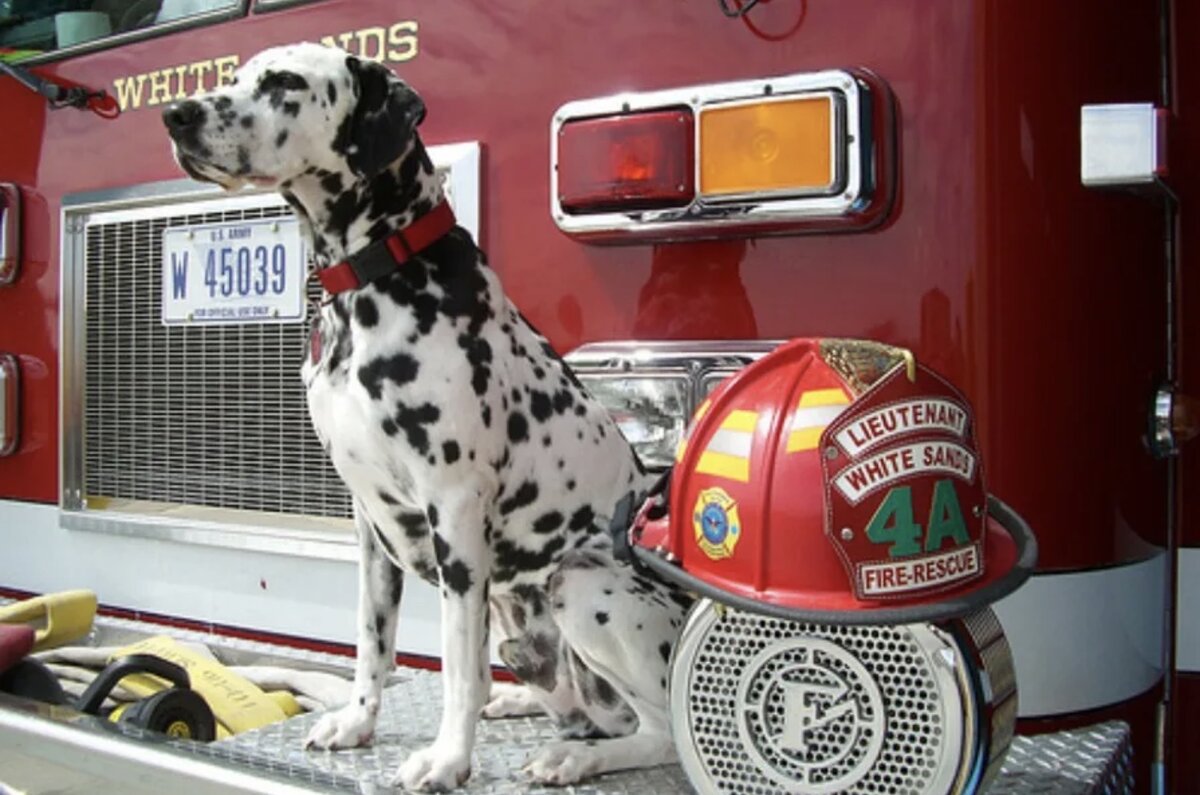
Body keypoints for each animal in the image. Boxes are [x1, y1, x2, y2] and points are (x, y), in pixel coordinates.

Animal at [163, 43, 691, 792]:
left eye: (285, 82)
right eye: (234, 77)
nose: (175, 115)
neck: (373, 279)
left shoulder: (456, 514)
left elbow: (456, 665)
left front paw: (447, 759)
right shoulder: (368, 522)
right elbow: (373, 642)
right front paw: (358, 723)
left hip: (582, 582)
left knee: (658, 730)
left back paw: (576, 756)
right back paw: (528, 702)